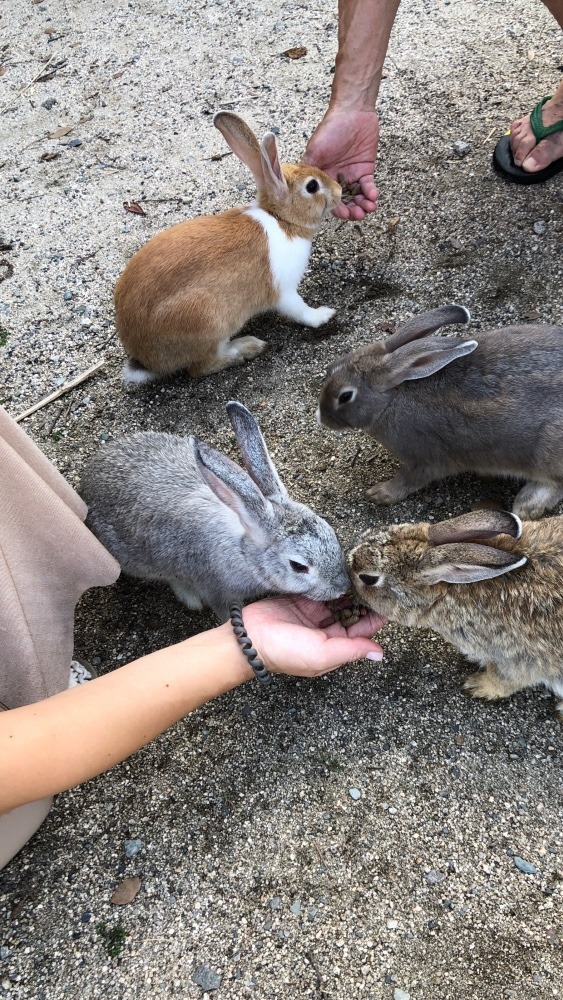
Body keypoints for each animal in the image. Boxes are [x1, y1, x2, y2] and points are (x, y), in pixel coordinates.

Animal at [80, 398, 352, 616]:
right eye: (298, 566)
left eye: (330, 530)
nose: (343, 587)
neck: (244, 552)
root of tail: (86, 483)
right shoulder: (218, 592)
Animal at [115, 111, 340, 384]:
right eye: (312, 186)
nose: (340, 191)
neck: (281, 219)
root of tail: (145, 359)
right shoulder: (284, 291)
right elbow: (299, 310)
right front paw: (324, 315)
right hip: (207, 319)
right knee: (201, 367)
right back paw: (247, 348)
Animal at [318, 304, 563, 520]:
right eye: (330, 367)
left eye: (345, 396)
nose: (321, 418)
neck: (392, 398)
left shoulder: (425, 460)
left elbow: (407, 481)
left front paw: (378, 494)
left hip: (544, 454)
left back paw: (527, 505)